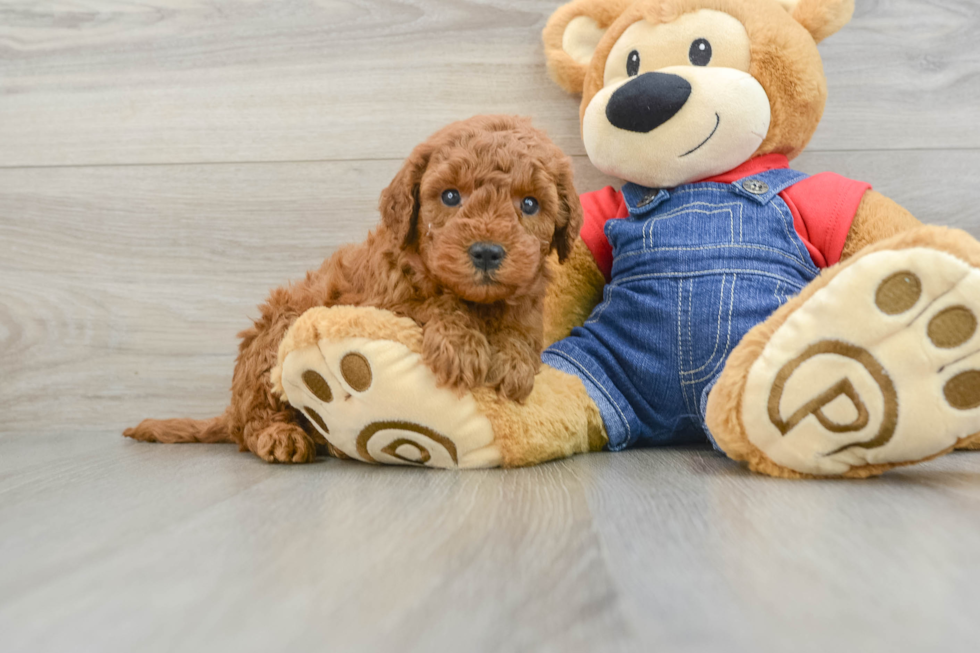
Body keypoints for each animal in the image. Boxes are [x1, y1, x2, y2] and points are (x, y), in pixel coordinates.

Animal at [122, 117, 580, 464]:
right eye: (451, 196)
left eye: (529, 204)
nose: (486, 252)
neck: (476, 300)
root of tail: (229, 410)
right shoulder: (387, 299)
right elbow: (434, 303)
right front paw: (461, 344)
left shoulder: (527, 305)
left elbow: (520, 332)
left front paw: (512, 362)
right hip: (273, 340)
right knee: (253, 423)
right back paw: (282, 436)